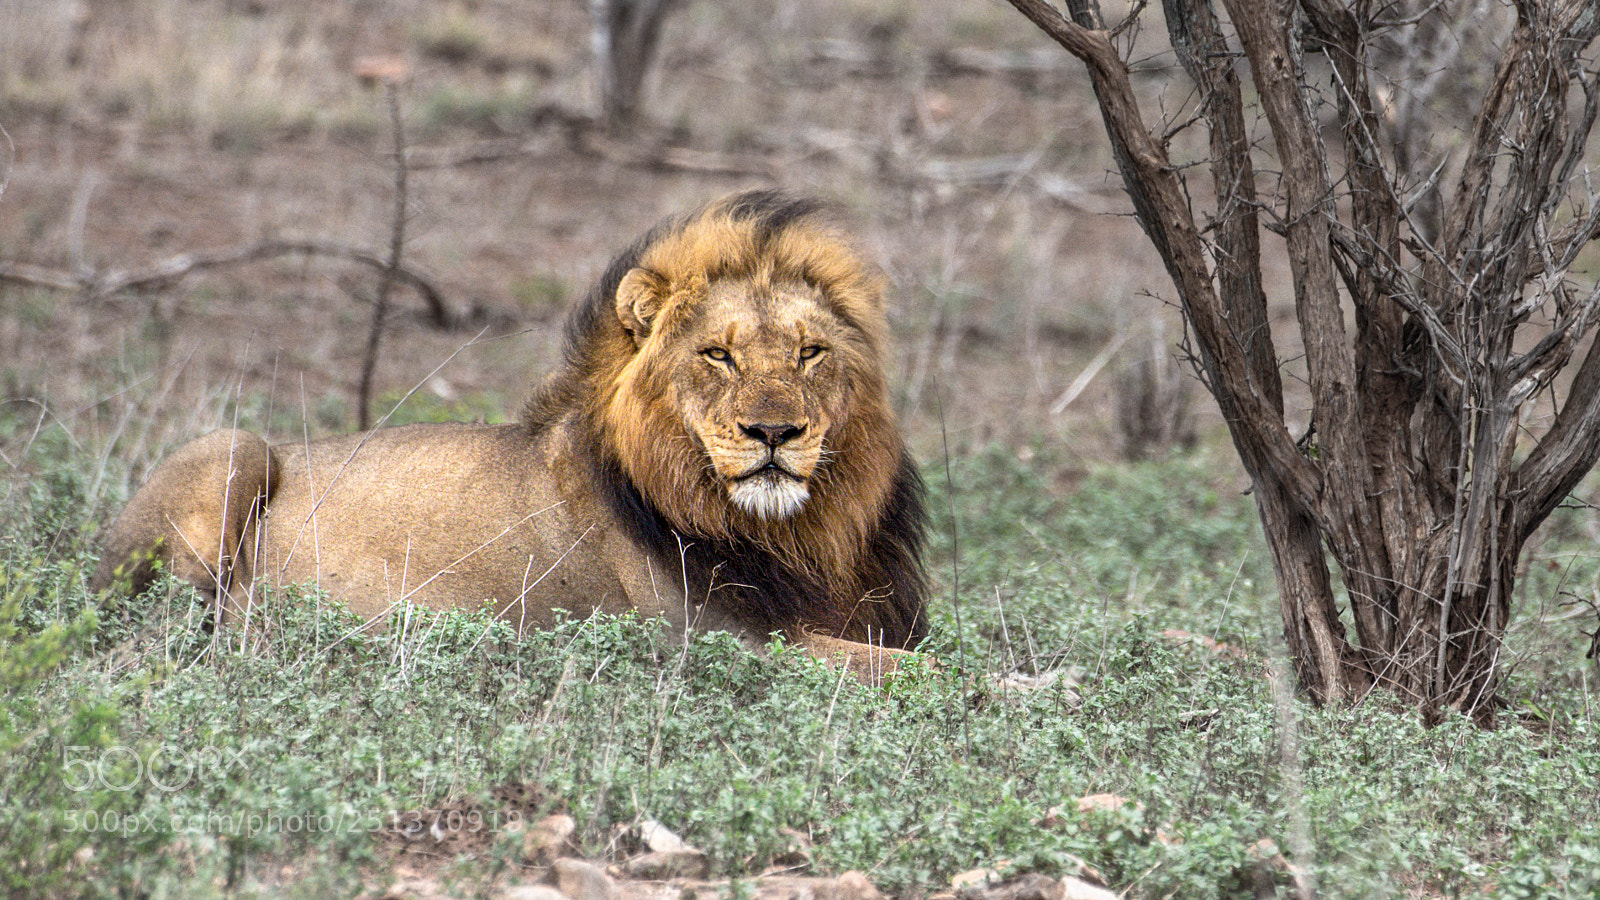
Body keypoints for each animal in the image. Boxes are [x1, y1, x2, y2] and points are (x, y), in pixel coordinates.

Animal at [91, 191, 929, 677]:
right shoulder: (711, 641)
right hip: (232, 451)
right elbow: (910, 674)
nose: (775, 431)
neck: (798, 536)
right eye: (717, 355)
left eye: (809, 352)